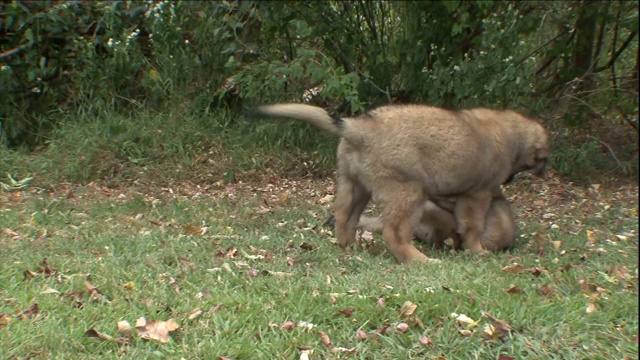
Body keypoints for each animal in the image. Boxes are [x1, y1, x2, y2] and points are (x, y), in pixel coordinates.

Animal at [252, 102, 548, 262]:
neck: (511, 134)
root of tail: (358, 128)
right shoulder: (477, 194)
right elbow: (472, 227)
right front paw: (477, 251)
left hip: (354, 184)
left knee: (344, 218)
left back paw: (350, 247)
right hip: (408, 192)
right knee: (393, 233)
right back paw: (420, 260)